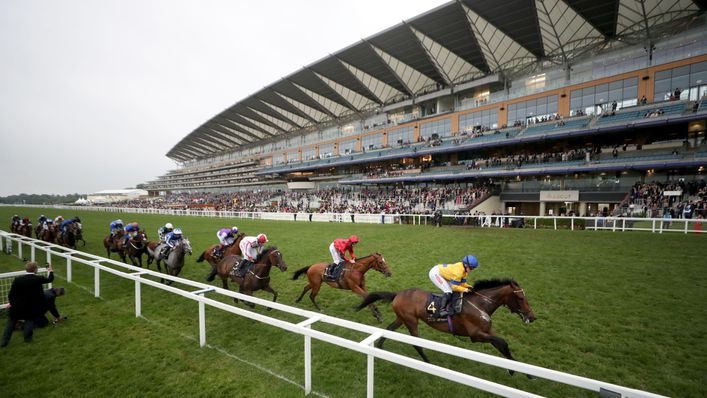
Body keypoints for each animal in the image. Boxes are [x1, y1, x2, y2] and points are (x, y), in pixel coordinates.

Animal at [356, 278, 532, 372]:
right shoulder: (476, 335)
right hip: (411, 321)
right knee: (416, 343)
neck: (480, 304)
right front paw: (513, 369)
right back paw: (428, 363)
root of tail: (398, 294)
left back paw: (379, 347)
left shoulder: (487, 331)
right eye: (521, 298)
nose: (532, 316)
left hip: (402, 318)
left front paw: (524, 372)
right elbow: (503, 342)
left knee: (388, 330)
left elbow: (502, 345)